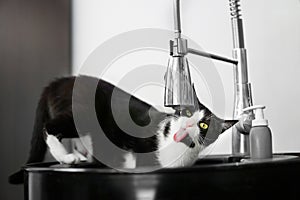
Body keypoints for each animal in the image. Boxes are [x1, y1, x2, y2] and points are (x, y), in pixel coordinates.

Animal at [8, 75, 236, 184]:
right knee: (49, 127)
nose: (188, 124)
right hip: (83, 114)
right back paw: (66, 157)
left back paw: (80, 156)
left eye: (204, 125)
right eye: (188, 113)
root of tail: (59, 82)